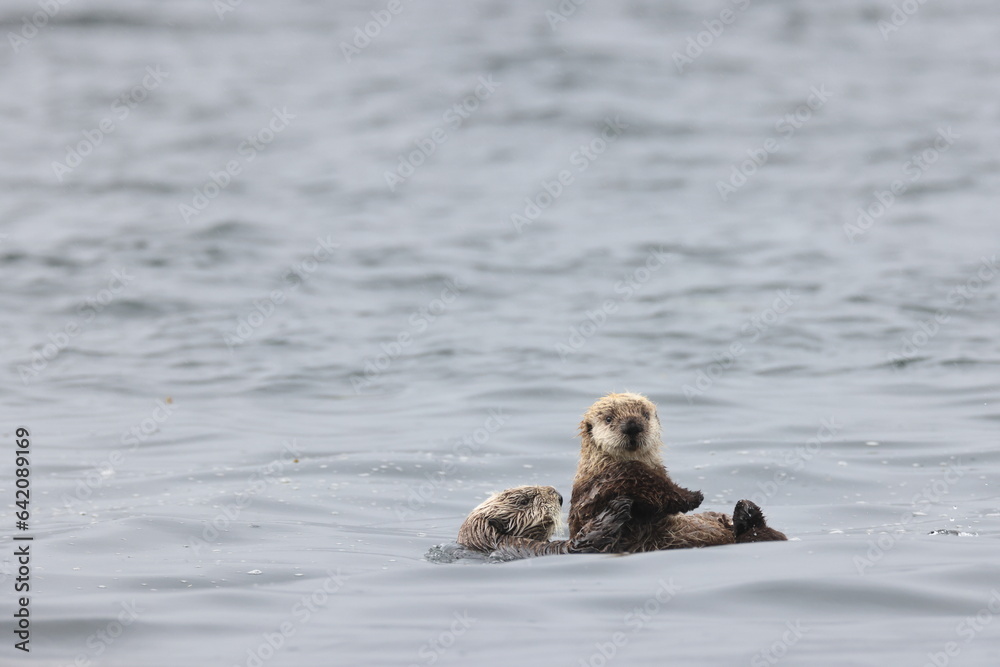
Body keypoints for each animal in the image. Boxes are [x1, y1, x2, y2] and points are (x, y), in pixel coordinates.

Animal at [569, 392, 786, 551]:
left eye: (645, 415)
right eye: (608, 418)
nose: (632, 425)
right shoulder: (603, 482)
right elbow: (641, 477)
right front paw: (692, 496)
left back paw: (744, 510)